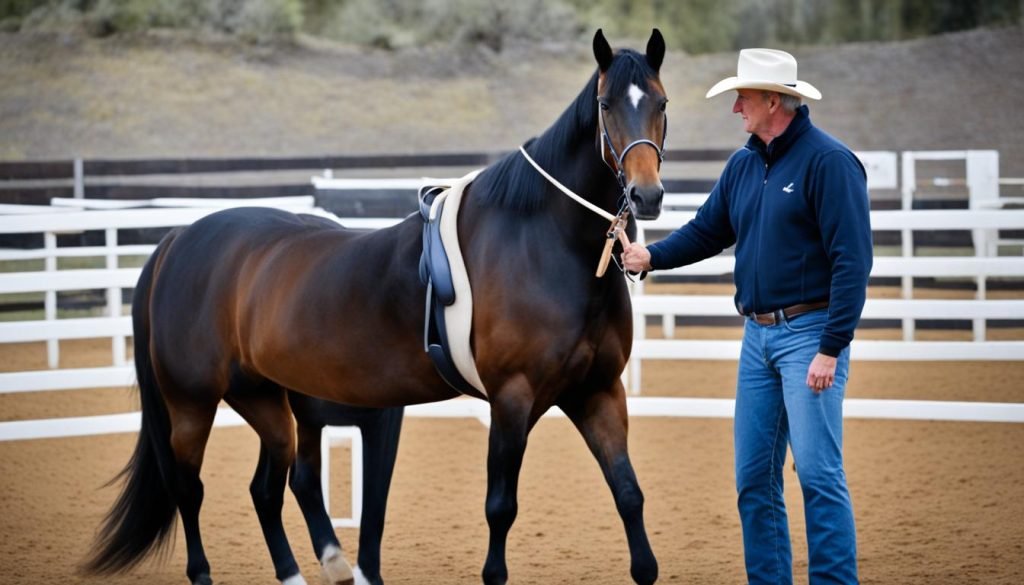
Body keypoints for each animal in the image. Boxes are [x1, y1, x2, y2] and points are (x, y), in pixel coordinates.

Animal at [83, 28, 669, 585]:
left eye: (661, 103)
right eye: (606, 105)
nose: (647, 195)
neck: (542, 241)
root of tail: (178, 238)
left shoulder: (596, 392)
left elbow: (630, 493)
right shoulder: (512, 399)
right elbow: (500, 507)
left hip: (266, 401)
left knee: (267, 489)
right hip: (191, 403)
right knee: (189, 488)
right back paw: (204, 571)